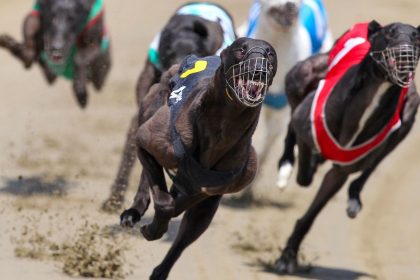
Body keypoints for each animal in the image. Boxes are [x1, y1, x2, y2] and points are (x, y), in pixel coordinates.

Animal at [118, 37, 276, 280]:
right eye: (241, 50)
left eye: (270, 54)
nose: (259, 68)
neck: (222, 130)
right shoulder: (145, 140)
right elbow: (164, 202)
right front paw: (151, 228)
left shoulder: (210, 192)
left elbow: (180, 204)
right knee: (148, 179)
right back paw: (134, 213)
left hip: (204, 211)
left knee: (182, 239)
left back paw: (159, 271)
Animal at [276, 20, 420, 274]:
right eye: (389, 33)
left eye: (417, 37)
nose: (406, 55)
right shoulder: (306, 127)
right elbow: (304, 175)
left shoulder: (339, 174)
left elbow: (312, 213)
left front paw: (289, 255)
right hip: (300, 75)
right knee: (293, 119)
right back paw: (286, 166)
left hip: (410, 112)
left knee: (372, 164)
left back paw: (354, 198)